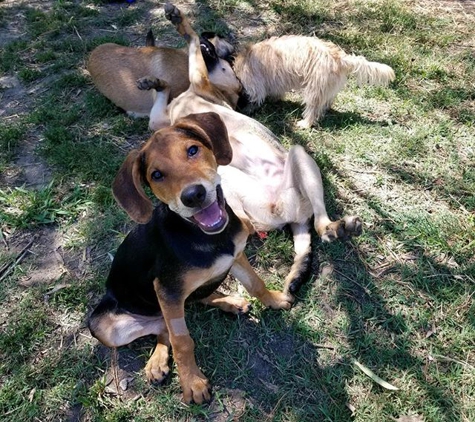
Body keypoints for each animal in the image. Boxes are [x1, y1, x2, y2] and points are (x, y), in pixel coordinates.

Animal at [87, 111, 292, 402]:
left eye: (192, 150)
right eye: (156, 175)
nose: (193, 195)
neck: (207, 237)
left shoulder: (235, 256)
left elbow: (256, 283)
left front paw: (274, 300)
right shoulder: (167, 290)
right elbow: (182, 341)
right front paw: (193, 383)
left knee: (190, 304)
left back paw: (230, 302)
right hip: (106, 325)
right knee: (164, 327)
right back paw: (157, 363)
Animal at [232, 35, 396, 128]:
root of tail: (340, 58)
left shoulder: (255, 84)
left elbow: (256, 97)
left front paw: (248, 109)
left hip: (314, 89)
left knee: (313, 109)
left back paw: (305, 124)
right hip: (328, 87)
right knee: (326, 101)